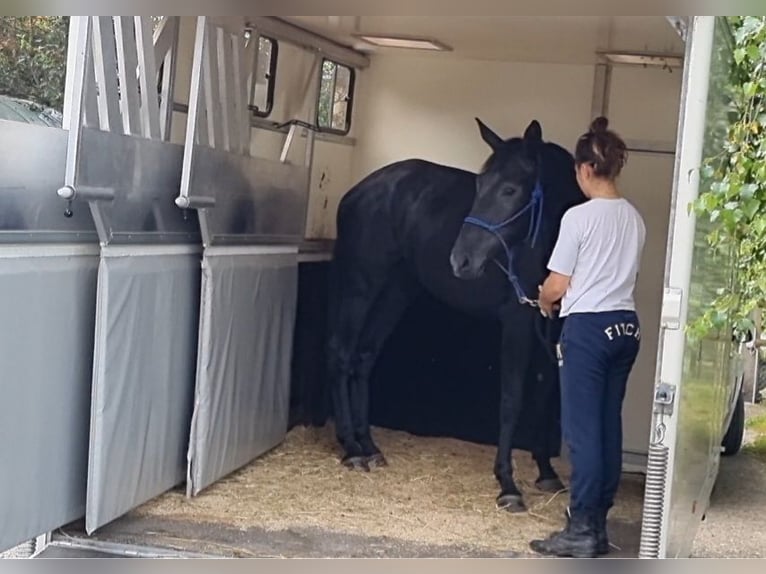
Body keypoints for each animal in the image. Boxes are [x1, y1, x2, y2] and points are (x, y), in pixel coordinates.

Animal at [328, 118, 584, 512]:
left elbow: (545, 392)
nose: (461, 260)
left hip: (397, 290)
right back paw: (353, 449)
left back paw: (369, 445)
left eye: (510, 189)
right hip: (362, 285)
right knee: (342, 353)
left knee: (364, 357)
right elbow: (511, 399)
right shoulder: (517, 322)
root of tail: (358, 192)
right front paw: (507, 483)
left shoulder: (551, 327)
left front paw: (545, 470)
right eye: (480, 185)